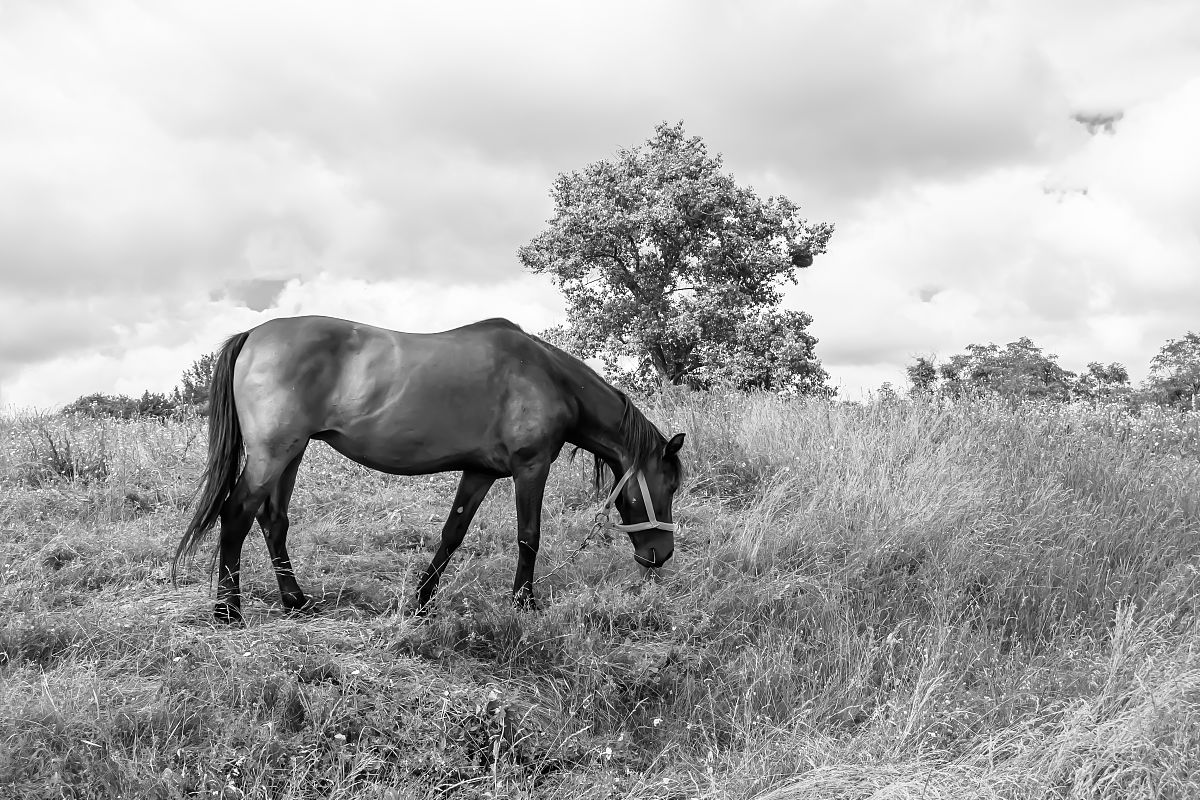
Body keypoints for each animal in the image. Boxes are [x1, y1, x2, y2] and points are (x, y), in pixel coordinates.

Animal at [173, 315, 685, 623]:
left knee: (272, 519)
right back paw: (228, 611)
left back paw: (295, 601)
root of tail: (253, 335)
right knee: (237, 515)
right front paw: (524, 602)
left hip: (290, 455)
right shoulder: (530, 468)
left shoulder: (480, 472)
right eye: (668, 484)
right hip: (272, 453)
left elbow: (452, 534)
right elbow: (529, 536)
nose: (660, 555)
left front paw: (422, 601)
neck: (546, 376)